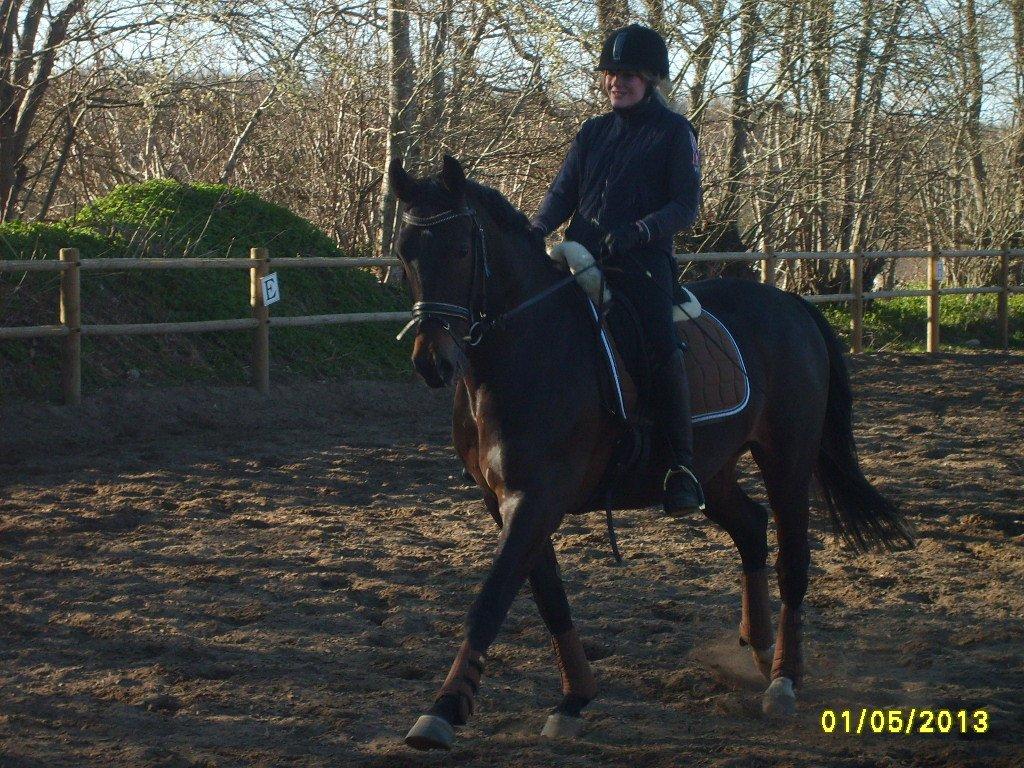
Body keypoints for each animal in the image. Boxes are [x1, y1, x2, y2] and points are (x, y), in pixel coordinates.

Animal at [385, 154, 913, 753]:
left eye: (460, 250)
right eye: (405, 254)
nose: (433, 362)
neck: (527, 348)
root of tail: (792, 305)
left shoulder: (537, 497)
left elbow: (492, 598)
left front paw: (442, 710)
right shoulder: (504, 502)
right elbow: (548, 596)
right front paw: (574, 700)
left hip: (788, 456)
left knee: (793, 557)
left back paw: (782, 682)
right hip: (710, 468)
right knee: (751, 526)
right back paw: (757, 649)